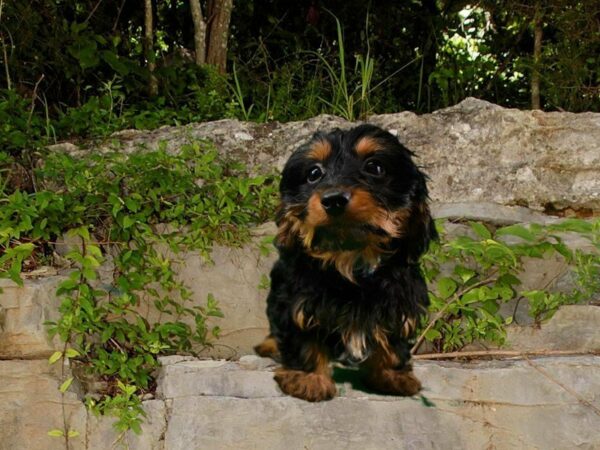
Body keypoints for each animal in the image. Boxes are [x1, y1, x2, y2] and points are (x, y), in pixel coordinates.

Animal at [254, 123, 436, 400]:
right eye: (314, 173)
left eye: (375, 167)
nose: (333, 199)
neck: (348, 255)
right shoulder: (296, 301)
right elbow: (301, 336)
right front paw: (307, 378)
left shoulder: (400, 299)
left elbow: (393, 338)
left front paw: (392, 375)